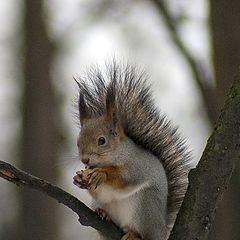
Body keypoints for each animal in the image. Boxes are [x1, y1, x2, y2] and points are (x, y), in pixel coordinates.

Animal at [73, 62, 191, 240]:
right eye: (78, 142)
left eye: (102, 140)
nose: (85, 160)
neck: (115, 156)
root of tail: (162, 230)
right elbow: (98, 192)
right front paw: (79, 178)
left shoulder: (137, 166)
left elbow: (124, 179)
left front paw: (102, 174)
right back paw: (103, 213)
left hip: (145, 207)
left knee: (143, 233)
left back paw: (133, 235)